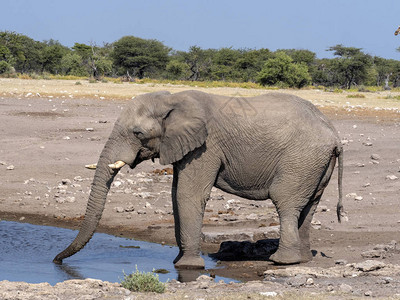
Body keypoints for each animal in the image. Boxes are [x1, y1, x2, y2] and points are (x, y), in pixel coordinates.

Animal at [54, 90, 344, 268]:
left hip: (301, 159)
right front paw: (177, 263)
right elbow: (175, 195)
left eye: (137, 133)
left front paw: (188, 267)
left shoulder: (206, 147)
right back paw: (303, 260)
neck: (171, 100)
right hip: (315, 163)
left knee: (286, 203)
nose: (56, 261)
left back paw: (282, 261)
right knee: (309, 206)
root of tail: (334, 134)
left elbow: (188, 194)